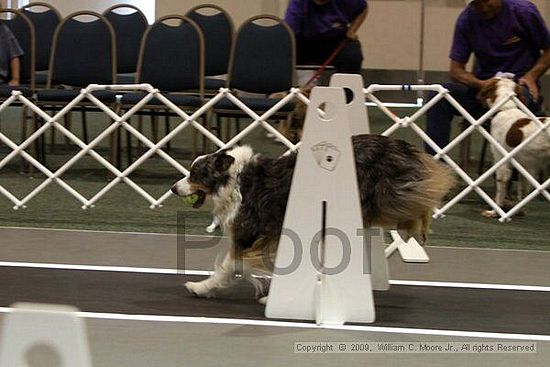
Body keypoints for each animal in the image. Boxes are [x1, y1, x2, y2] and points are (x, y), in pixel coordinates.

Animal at [172, 135, 458, 302]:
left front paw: (201, 287)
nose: (174, 188)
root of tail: (398, 145)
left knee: (423, 192)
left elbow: (228, 266)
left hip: (383, 193)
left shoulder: (249, 233)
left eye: (195, 173)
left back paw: (418, 227)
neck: (233, 180)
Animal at [478, 77, 550, 216]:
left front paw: (495, 211)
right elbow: (522, 191)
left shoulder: (501, 161)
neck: (506, 108)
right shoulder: (524, 167)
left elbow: (500, 190)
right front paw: (519, 210)